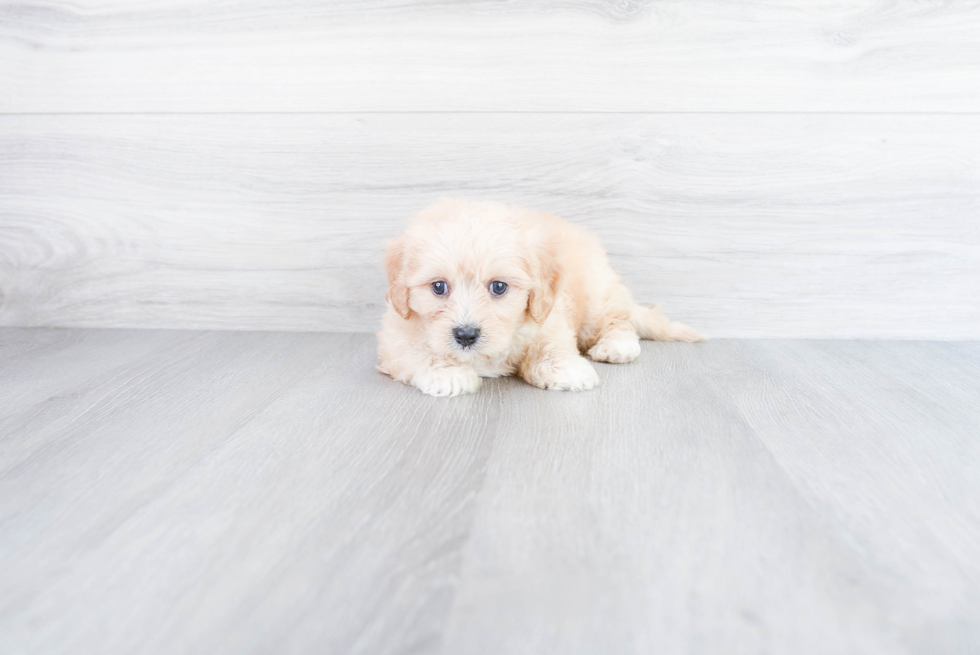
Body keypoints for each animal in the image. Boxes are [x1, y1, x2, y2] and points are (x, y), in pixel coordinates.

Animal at [376, 197, 704, 398]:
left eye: (499, 287)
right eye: (438, 287)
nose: (466, 335)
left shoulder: (549, 316)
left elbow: (552, 345)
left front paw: (566, 369)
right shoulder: (395, 335)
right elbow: (419, 352)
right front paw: (448, 374)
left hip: (597, 294)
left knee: (617, 319)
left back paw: (617, 345)